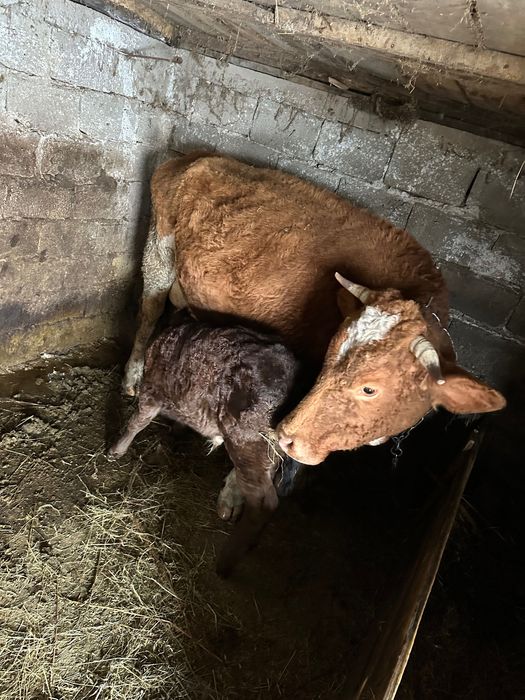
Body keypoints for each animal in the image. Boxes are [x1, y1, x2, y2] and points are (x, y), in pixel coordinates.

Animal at [110, 311, 302, 575]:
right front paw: (176, 431)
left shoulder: (152, 392)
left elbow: (137, 422)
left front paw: (116, 449)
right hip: (268, 455)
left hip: (247, 443)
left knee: (264, 502)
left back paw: (226, 562)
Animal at [123, 152, 505, 467]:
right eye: (328, 356)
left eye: (369, 389)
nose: (291, 439)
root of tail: (197, 156)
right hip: (159, 252)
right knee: (148, 312)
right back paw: (133, 378)